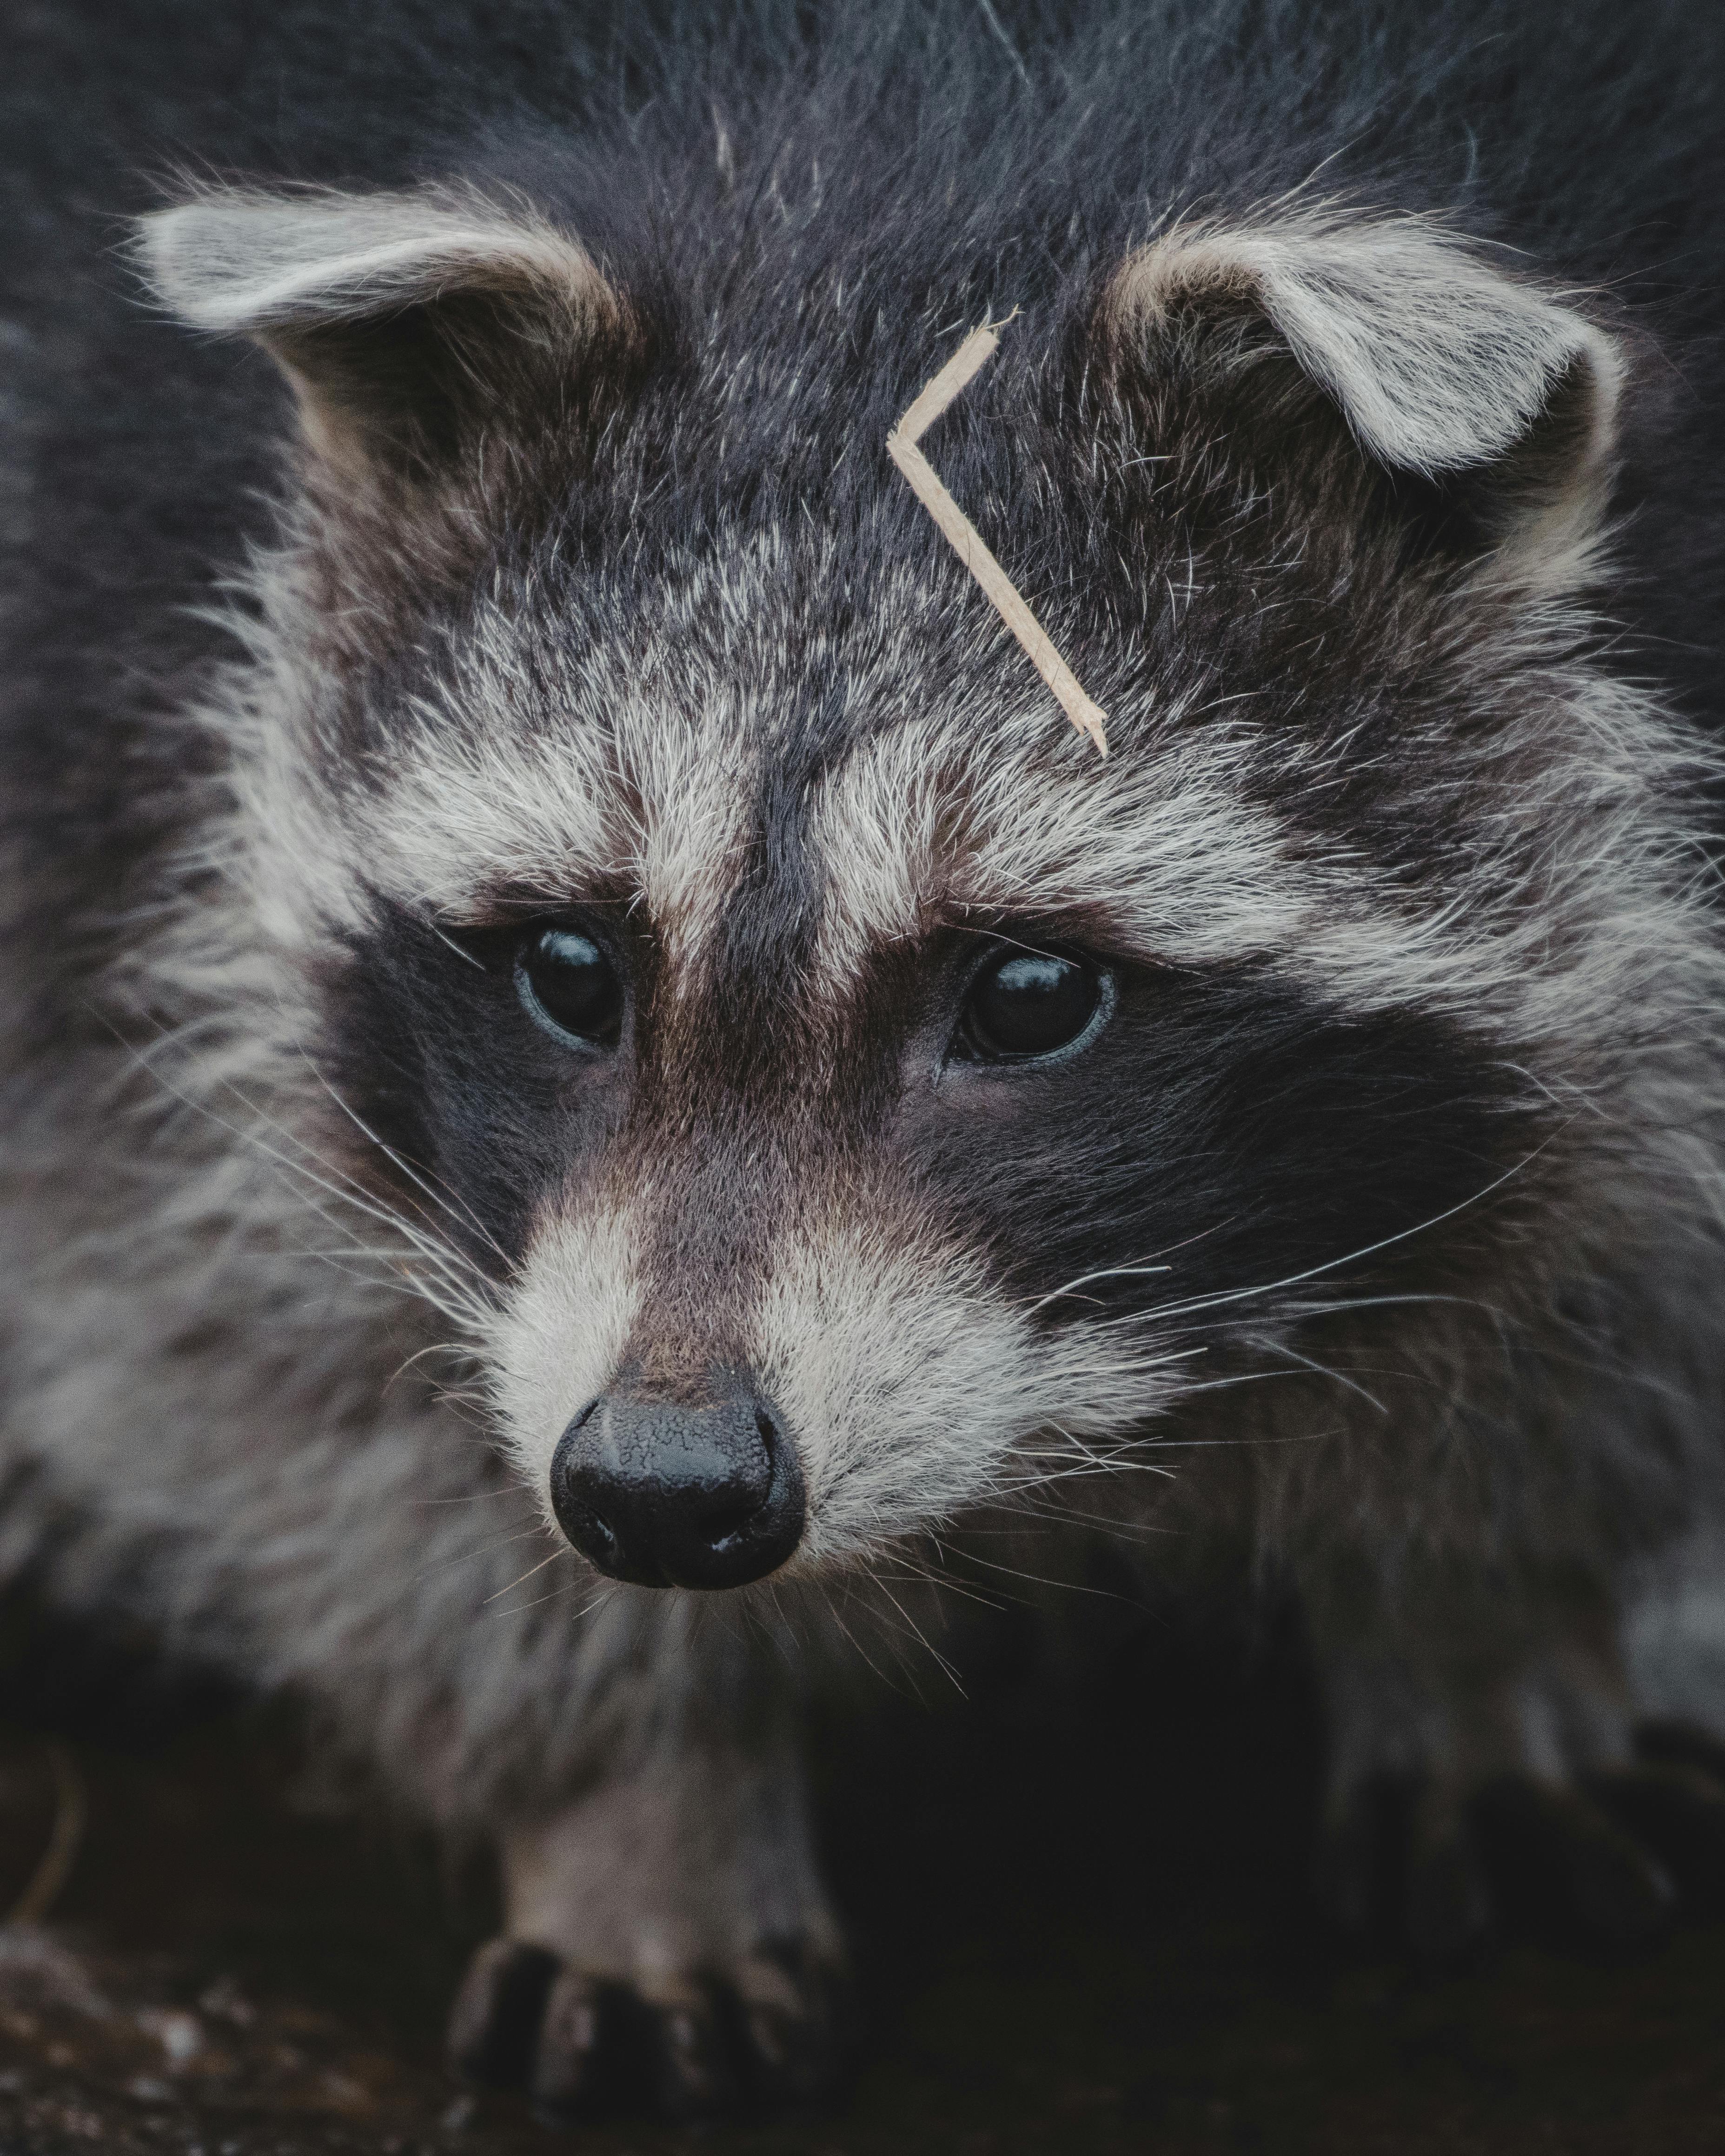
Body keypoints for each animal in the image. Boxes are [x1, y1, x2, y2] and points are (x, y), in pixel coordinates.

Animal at [6, 0, 1725, 2121]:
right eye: (570, 966)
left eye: (1028, 996)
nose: (660, 1491)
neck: (948, 132)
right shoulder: (101, 595)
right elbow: (230, 1299)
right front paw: (632, 1787)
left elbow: (1617, 1250)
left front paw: (1489, 1616)